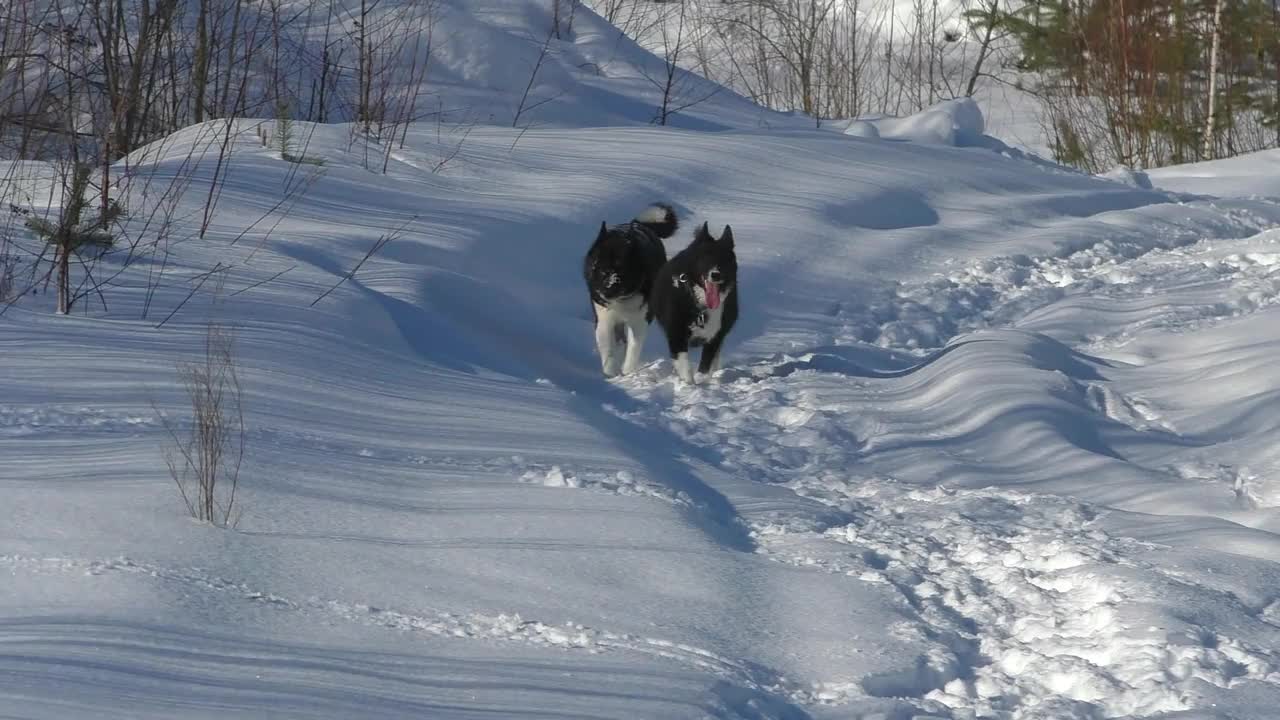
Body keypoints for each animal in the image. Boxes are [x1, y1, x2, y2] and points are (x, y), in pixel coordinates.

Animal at [583, 202, 680, 376]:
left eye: (621, 269)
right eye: (599, 268)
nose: (606, 293)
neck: (622, 299)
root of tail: (637, 224)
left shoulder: (640, 320)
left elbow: (634, 348)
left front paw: (627, 372)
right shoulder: (604, 319)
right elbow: (608, 350)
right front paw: (611, 374)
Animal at [650, 222, 742, 381]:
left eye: (724, 259)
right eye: (706, 257)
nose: (716, 275)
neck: (700, 304)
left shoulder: (715, 336)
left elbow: (705, 365)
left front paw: (702, 380)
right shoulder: (676, 335)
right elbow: (685, 366)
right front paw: (689, 384)